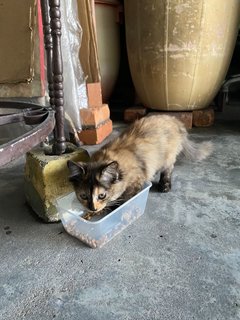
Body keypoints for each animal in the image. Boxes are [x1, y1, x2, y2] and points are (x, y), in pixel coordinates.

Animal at [67, 115, 212, 218]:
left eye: (102, 195)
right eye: (83, 196)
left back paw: (165, 185)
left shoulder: (136, 181)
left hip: (168, 158)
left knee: (168, 170)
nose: (92, 208)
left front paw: (114, 210)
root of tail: (175, 120)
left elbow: (124, 199)